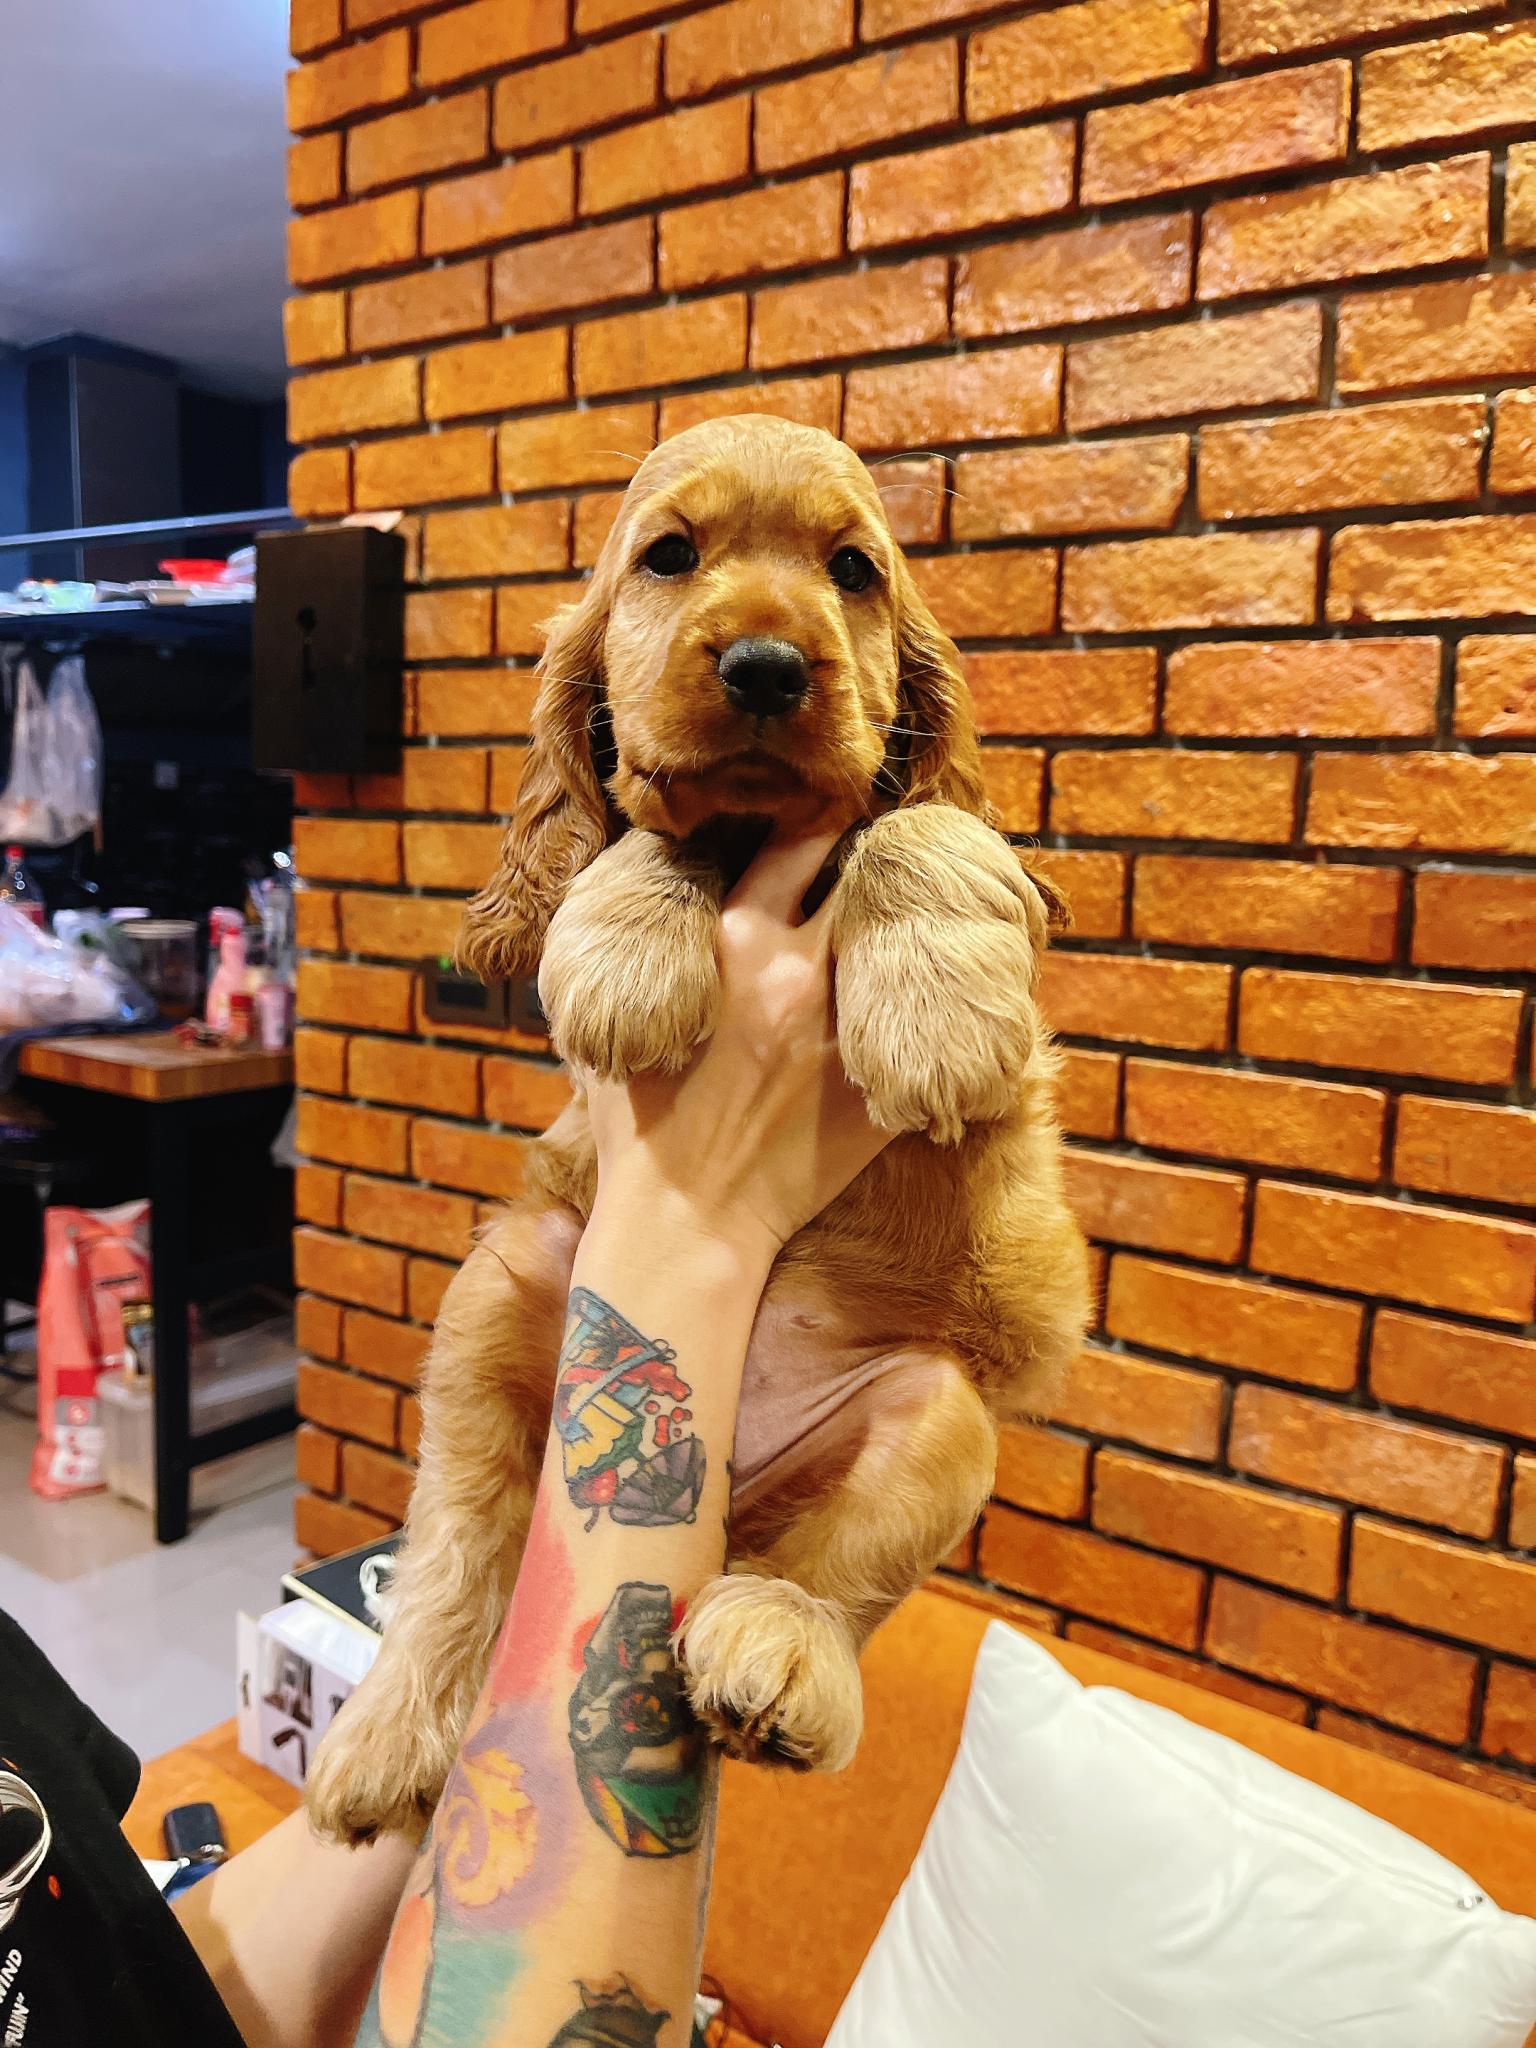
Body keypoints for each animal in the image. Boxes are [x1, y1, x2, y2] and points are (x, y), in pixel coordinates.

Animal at [306, 413, 1089, 1845]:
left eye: (854, 570)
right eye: (669, 556)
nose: (768, 662)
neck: (756, 839)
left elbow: (923, 819)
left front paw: (938, 1014)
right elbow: (636, 831)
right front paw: (626, 948)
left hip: (941, 1412)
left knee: (822, 1573)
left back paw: (772, 1651)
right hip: (502, 1287)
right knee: (459, 1546)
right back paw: (386, 1740)